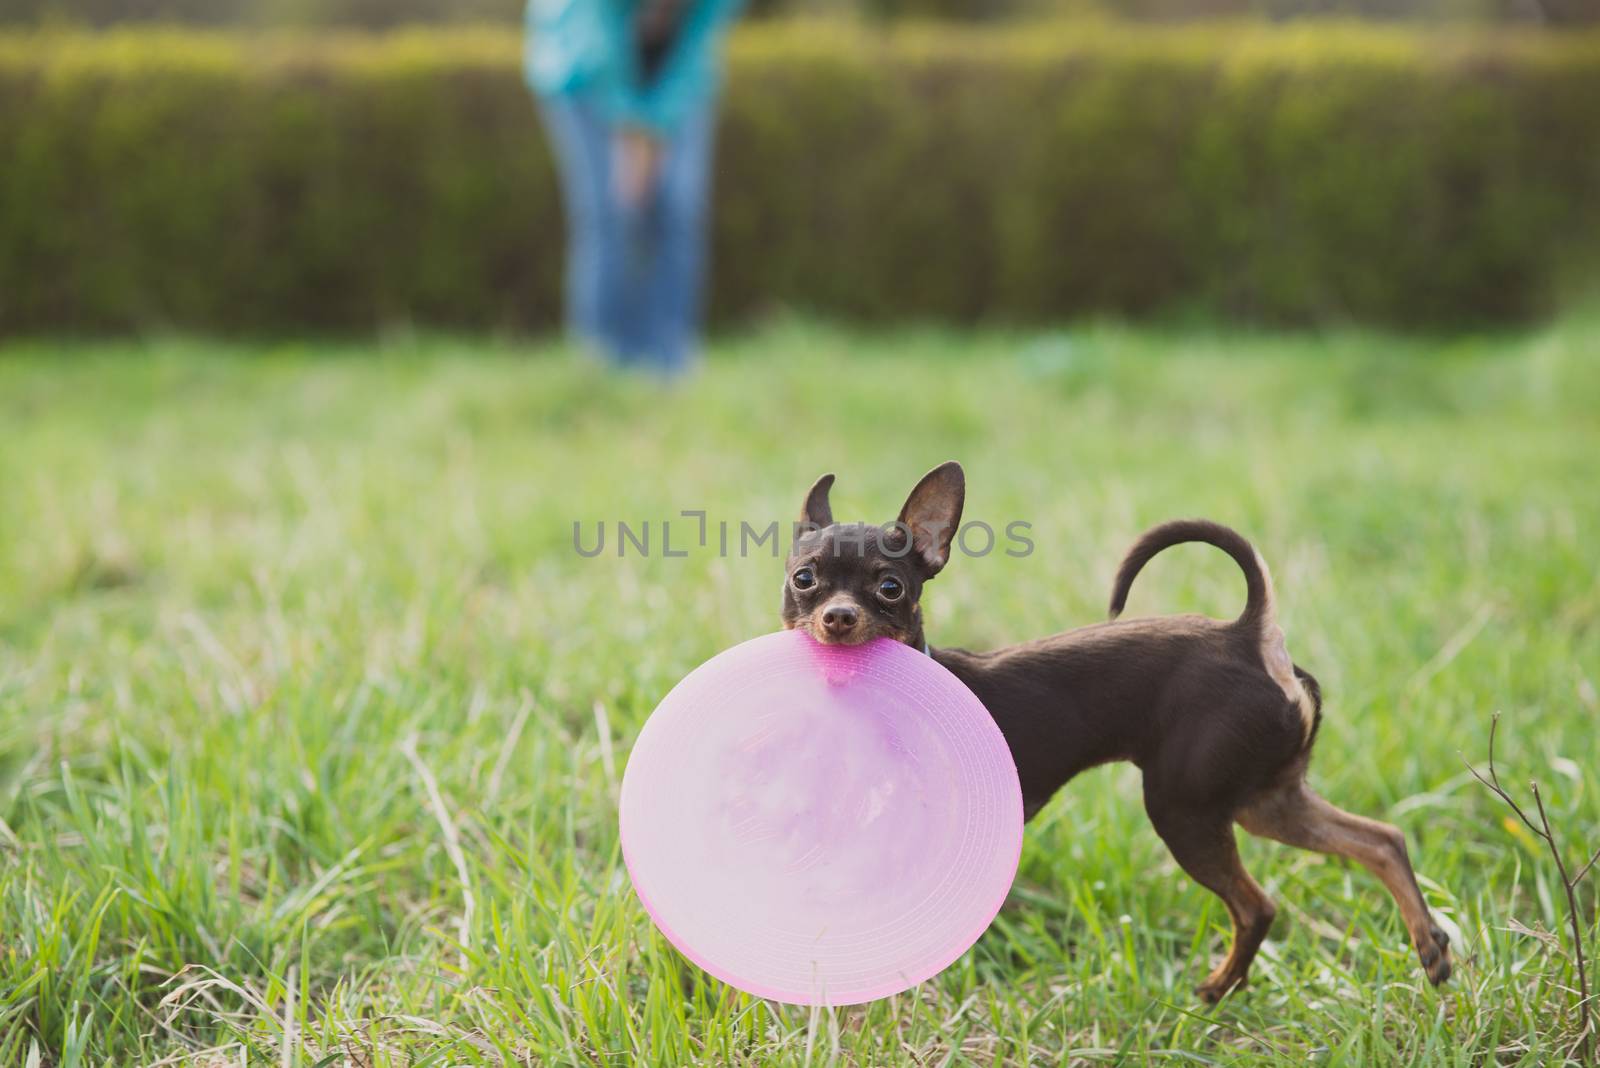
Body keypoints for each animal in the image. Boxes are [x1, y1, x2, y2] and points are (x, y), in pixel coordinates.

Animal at [780, 460, 1459, 1004]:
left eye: (890, 587)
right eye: (803, 580)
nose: (838, 617)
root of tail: (1248, 635)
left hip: (1185, 807)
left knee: (1258, 906)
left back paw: (1217, 990)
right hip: (1266, 799)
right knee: (1380, 840)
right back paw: (1428, 947)